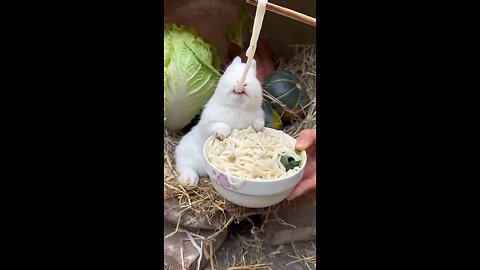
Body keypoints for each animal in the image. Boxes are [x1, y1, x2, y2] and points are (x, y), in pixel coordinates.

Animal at [176, 56, 264, 185]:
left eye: (255, 76)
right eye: (229, 71)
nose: (242, 83)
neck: (237, 107)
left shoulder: (258, 115)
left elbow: (258, 121)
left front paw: (258, 128)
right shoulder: (207, 124)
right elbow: (217, 125)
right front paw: (223, 133)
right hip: (187, 154)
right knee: (185, 166)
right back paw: (189, 180)